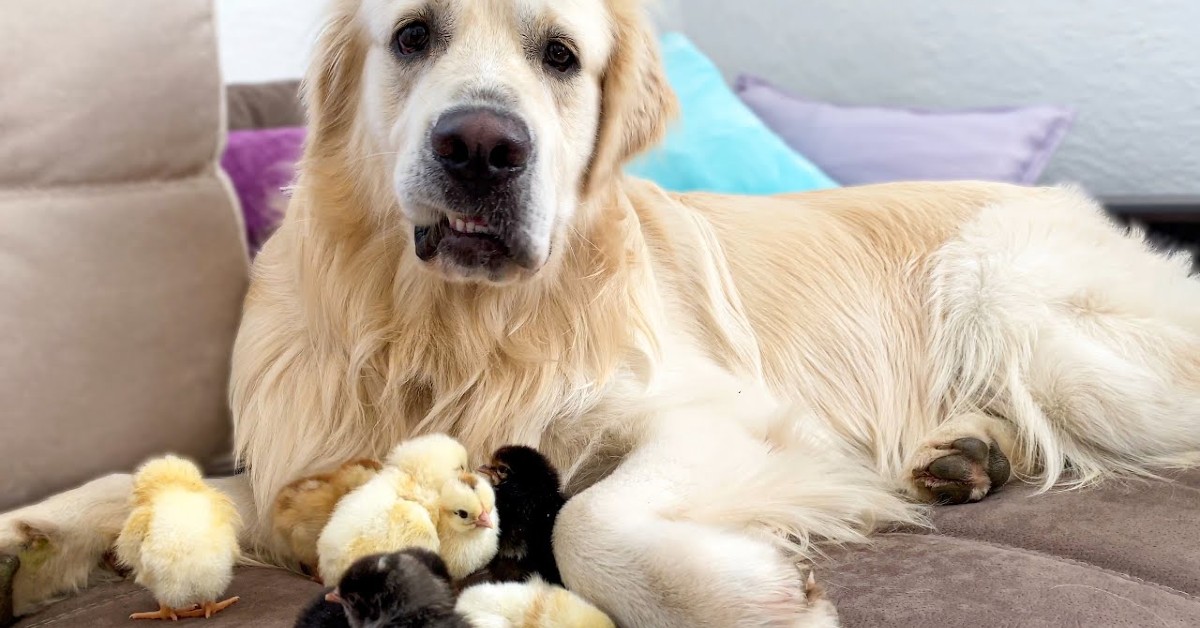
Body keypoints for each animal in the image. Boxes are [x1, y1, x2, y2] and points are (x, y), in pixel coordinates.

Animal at [7, 0, 1200, 624]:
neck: (451, 324)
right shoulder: (306, 461)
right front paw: (32, 535)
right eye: (413, 34)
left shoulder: (727, 414)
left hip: (1023, 306)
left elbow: (586, 517)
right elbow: (144, 485)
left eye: (561, 57)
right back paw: (965, 454)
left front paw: (746, 600)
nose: (482, 147)